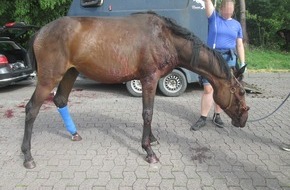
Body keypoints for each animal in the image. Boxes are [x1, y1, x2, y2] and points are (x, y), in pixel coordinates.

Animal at [21, 11, 249, 168]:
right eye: (240, 92)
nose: (244, 120)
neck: (165, 38)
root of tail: (40, 32)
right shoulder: (149, 79)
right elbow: (148, 113)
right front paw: (149, 151)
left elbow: (149, 113)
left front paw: (152, 139)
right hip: (48, 79)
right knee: (31, 109)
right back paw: (28, 157)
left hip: (70, 73)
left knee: (60, 100)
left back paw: (74, 134)